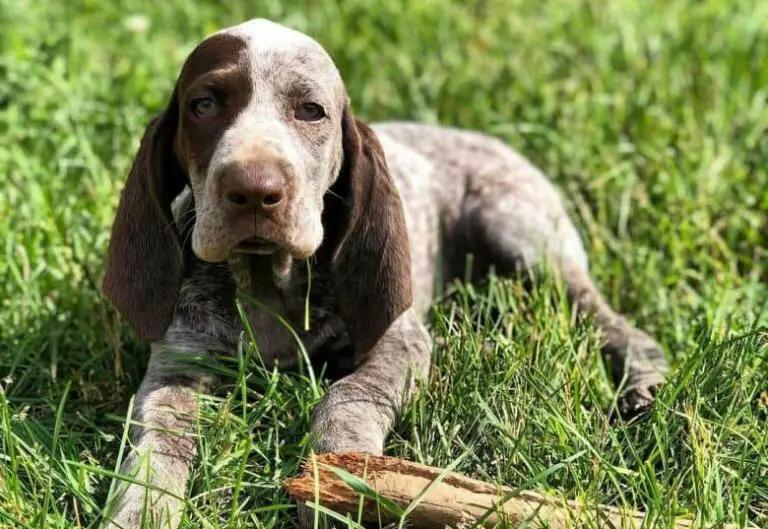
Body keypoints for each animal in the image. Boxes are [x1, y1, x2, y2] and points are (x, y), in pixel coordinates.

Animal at [100, 17, 664, 528]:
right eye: (203, 105)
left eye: (311, 111)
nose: (255, 190)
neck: (268, 281)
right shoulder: (177, 364)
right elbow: (156, 438)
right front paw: (141, 510)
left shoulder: (398, 340)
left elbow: (345, 398)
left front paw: (337, 481)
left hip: (523, 236)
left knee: (608, 320)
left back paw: (644, 384)